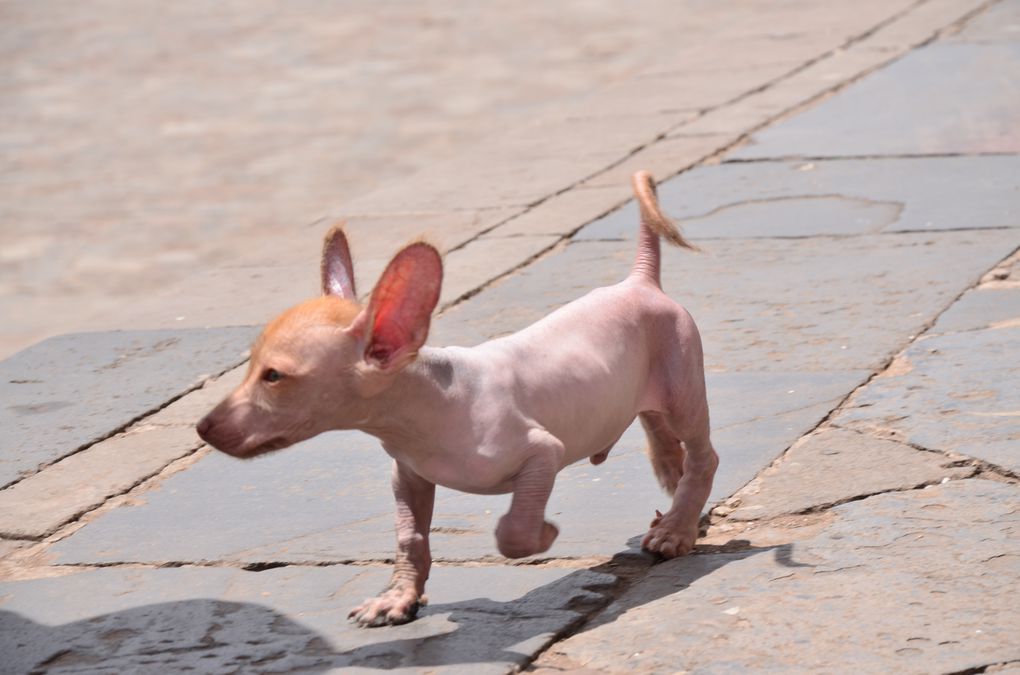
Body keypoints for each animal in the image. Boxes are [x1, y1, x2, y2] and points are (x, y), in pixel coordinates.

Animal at [196, 170, 718, 628]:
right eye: (249, 367)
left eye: (275, 376)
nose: (203, 427)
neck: (432, 404)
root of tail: (638, 281)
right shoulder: (407, 473)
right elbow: (409, 536)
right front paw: (397, 599)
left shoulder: (541, 452)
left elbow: (512, 532)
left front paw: (544, 533)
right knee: (655, 423)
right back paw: (671, 488)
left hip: (681, 375)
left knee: (703, 456)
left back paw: (676, 528)